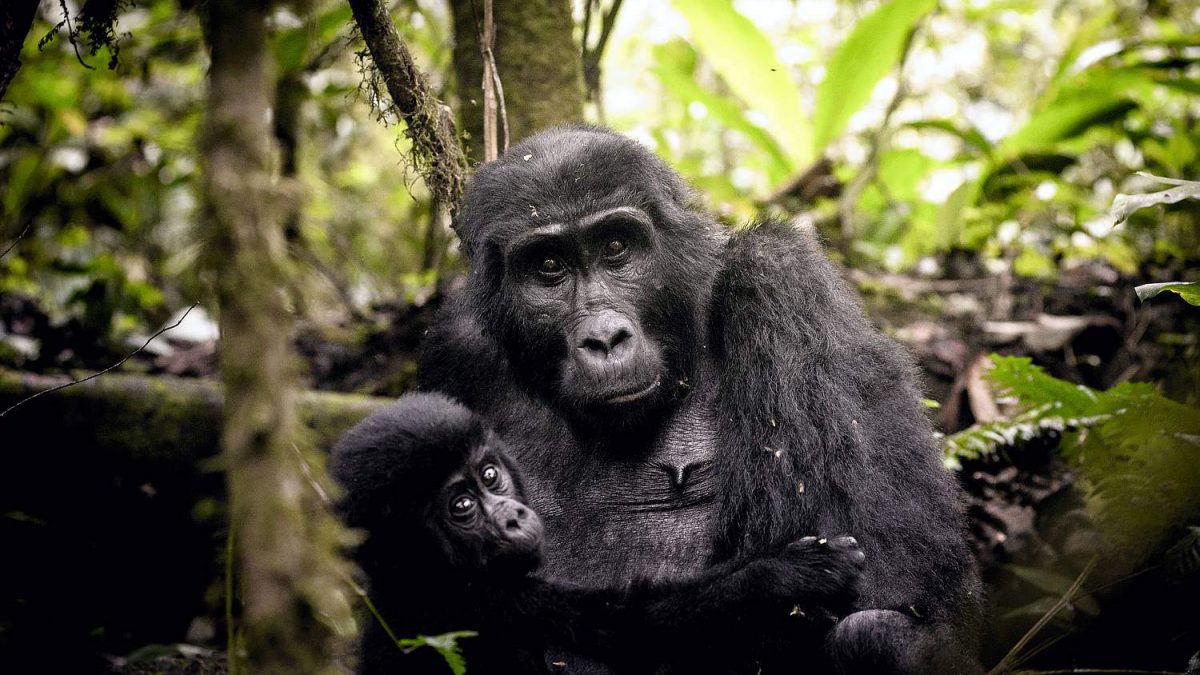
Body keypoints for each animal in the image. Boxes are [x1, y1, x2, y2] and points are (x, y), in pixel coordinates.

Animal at [333, 393, 868, 672]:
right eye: (461, 506)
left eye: (489, 475)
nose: (513, 517)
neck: (417, 571)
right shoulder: (480, 601)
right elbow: (634, 627)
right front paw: (784, 573)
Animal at [417, 124, 979, 667]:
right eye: (549, 266)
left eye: (616, 248)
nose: (605, 339)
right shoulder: (453, 354)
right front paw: (772, 580)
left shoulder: (780, 278)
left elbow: (890, 577)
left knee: (871, 633)